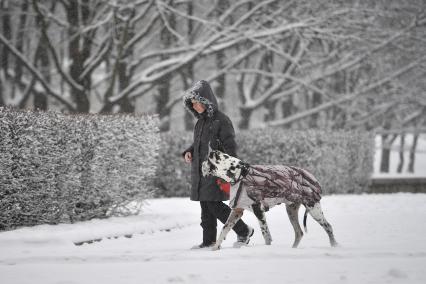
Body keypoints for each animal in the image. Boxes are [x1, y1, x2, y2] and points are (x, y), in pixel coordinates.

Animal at [201, 150, 338, 250]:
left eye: (209, 159)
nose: (201, 163)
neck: (241, 175)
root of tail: (311, 176)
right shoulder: (237, 210)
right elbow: (224, 229)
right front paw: (216, 247)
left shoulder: (259, 211)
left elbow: (266, 235)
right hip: (291, 211)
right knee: (299, 233)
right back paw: (293, 249)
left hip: (314, 209)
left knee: (329, 227)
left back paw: (335, 246)